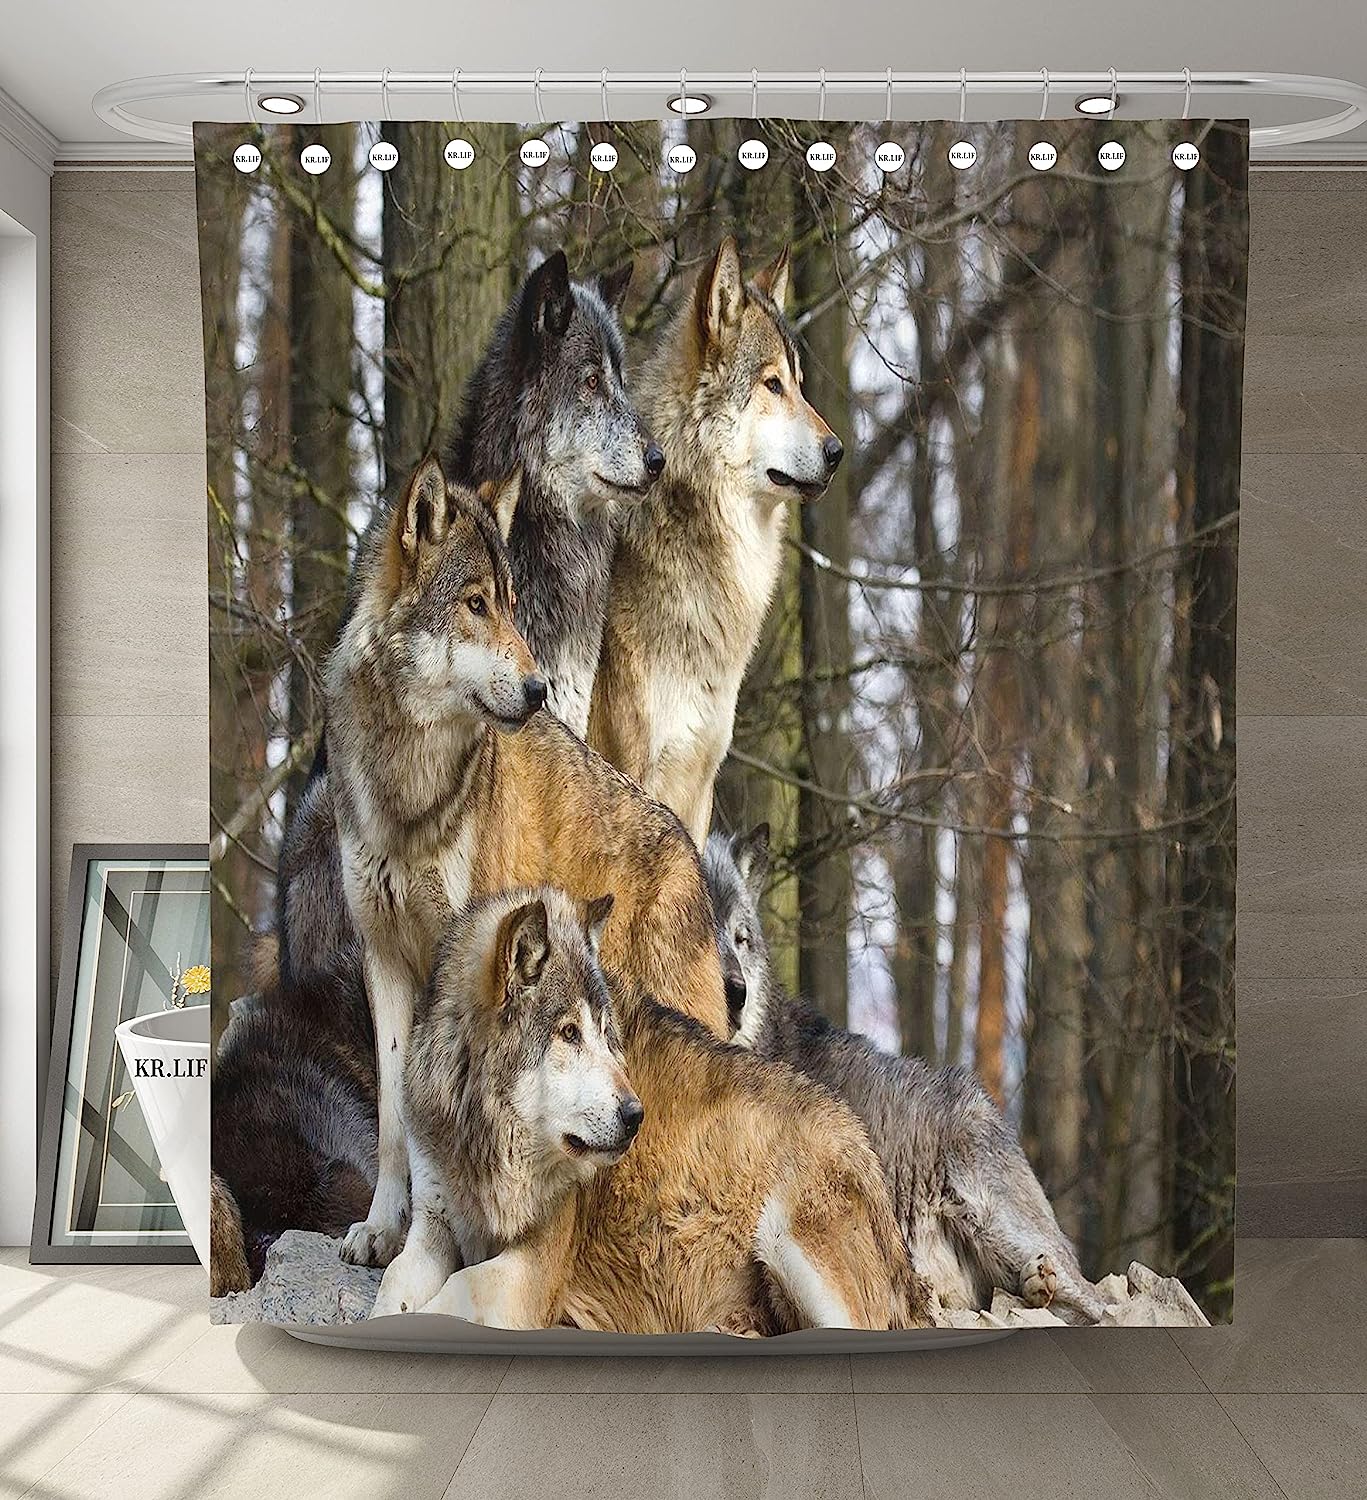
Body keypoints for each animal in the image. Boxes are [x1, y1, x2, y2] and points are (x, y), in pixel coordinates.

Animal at [293, 455, 727, 1268]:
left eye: (514, 606)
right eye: (474, 604)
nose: (536, 690)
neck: (411, 786)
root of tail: (687, 844)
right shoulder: (383, 959)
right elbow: (393, 1110)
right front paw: (381, 1227)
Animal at [370, 886, 934, 1333]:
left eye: (606, 1033)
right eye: (569, 1033)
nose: (635, 1115)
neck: (490, 1143)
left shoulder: (532, 1270)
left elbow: (452, 1292)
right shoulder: (431, 1229)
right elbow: (393, 1286)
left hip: (785, 1235)